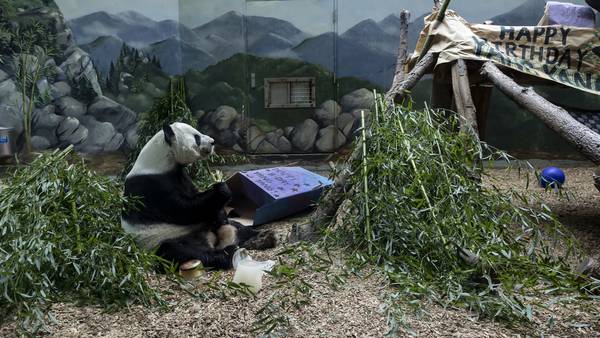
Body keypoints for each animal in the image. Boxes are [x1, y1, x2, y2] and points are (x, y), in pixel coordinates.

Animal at [122, 122, 276, 270]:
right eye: (197, 137)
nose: (213, 142)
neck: (162, 158)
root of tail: (212, 240)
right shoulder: (152, 186)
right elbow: (184, 209)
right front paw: (221, 188)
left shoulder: (181, 177)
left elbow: (200, 200)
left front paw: (220, 211)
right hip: (161, 240)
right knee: (182, 251)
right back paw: (228, 253)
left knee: (237, 227)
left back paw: (263, 236)